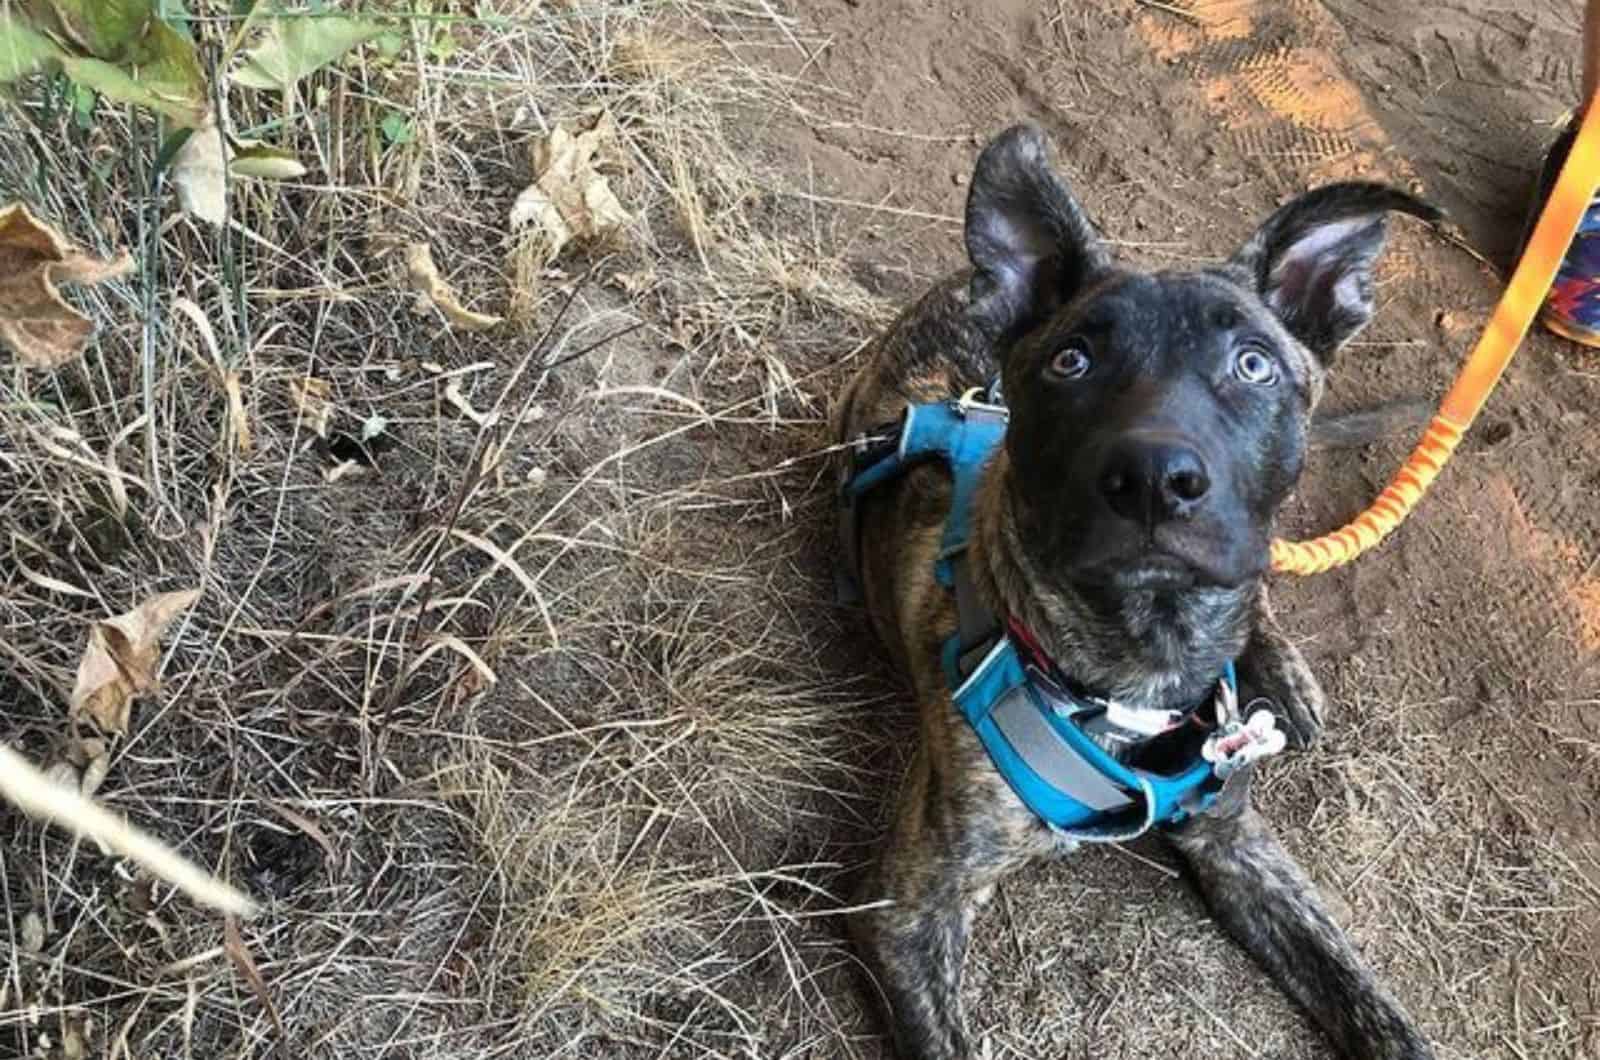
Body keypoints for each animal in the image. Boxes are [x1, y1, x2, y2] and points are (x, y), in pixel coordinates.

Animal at [838, 126, 1440, 1060]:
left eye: (1255, 365)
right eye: (1071, 361)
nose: (1157, 479)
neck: (1144, 663)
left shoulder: (1238, 845)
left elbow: (1370, 1001)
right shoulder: (908, 911)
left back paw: (1285, 675)